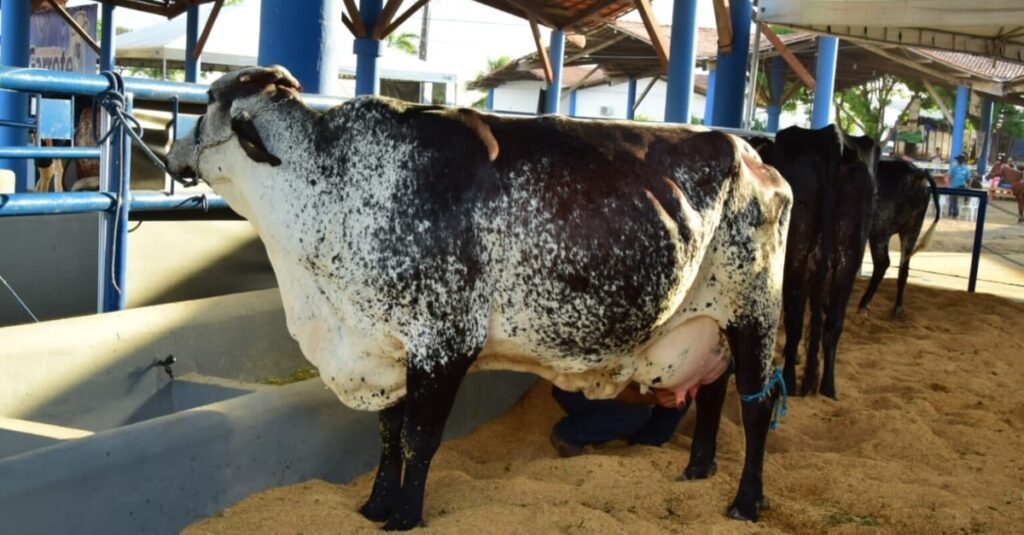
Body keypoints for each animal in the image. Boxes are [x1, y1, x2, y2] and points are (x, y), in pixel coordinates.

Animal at [167, 65, 792, 530]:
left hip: (755, 310)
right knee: (712, 391)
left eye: (209, 99)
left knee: (757, 404)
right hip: (710, 319)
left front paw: (405, 516)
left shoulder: (443, 344)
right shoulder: (386, 348)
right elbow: (387, 435)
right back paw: (697, 469)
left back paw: (745, 501)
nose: (171, 150)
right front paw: (374, 506)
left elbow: (419, 438)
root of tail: (753, 156)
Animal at [759, 125, 877, 399]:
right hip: (848, 258)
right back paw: (826, 387)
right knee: (833, 322)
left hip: (796, 255)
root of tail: (831, 136)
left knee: (795, 320)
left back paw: (792, 381)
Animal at [857, 160, 940, 318]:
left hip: (879, 230)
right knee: (904, 267)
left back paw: (863, 304)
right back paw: (898, 308)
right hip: (912, 229)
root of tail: (915, 174)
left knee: (882, 263)